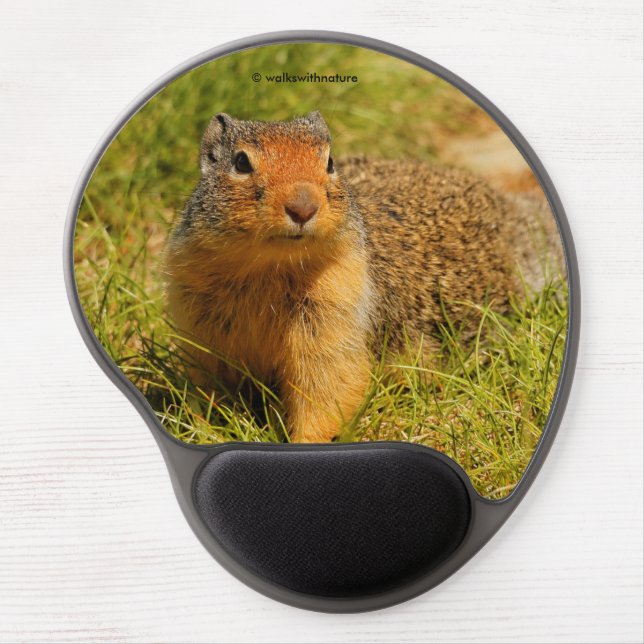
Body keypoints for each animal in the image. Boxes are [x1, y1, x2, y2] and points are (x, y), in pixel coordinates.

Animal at [163, 111, 563, 443]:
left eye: (329, 162)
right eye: (241, 162)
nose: (303, 207)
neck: (267, 267)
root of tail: (510, 211)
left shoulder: (335, 314)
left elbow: (328, 387)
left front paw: (308, 442)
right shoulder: (200, 321)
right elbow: (209, 385)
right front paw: (205, 429)